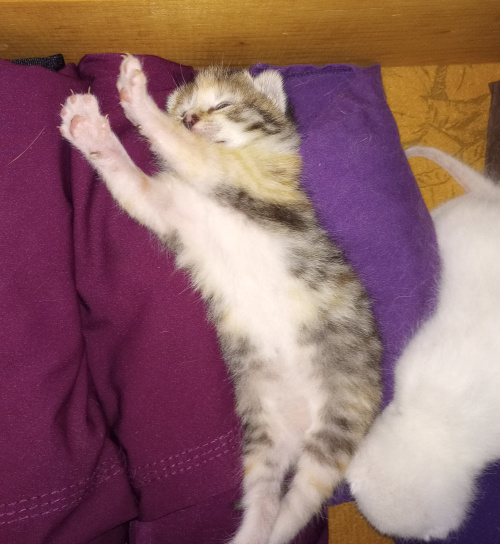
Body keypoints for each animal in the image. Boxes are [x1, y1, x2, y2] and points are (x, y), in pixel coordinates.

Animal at [61, 56, 382, 544]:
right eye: (185, 112)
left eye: (222, 104)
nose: (192, 119)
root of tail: (299, 427)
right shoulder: (167, 205)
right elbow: (128, 177)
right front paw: (89, 131)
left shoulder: (228, 171)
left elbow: (182, 147)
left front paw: (136, 95)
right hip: (262, 429)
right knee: (265, 501)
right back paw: (252, 532)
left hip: (339, 421)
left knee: (298, 506)